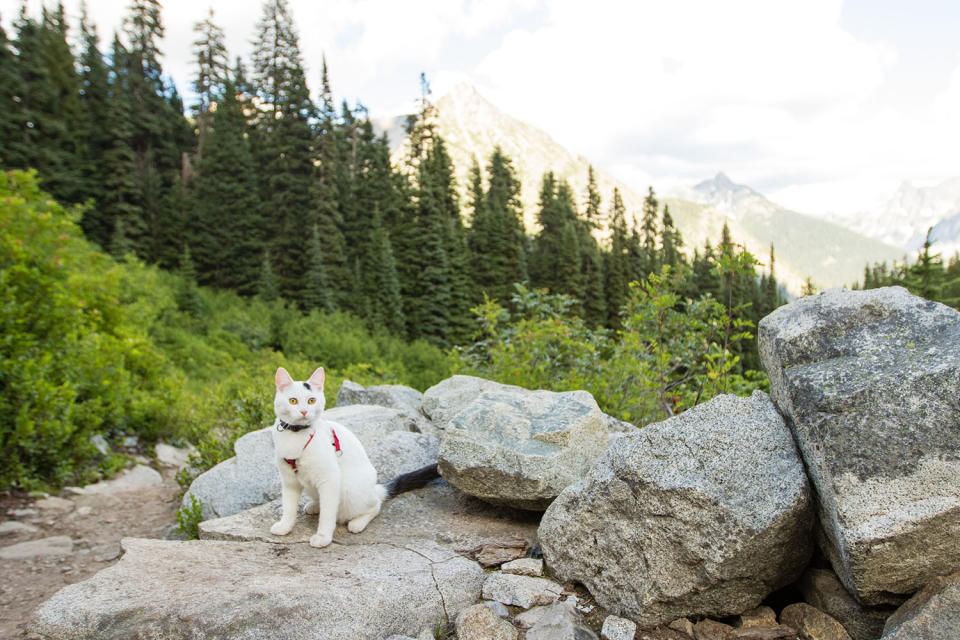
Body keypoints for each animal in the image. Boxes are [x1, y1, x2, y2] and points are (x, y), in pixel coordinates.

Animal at [266, 368, 386, 548]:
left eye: (311, 400)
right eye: (293, 401)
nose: (304, 411)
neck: (296, 435)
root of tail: (373, 488)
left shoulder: (329, 479)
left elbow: (328, 513)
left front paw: (323, 537)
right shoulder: (289, 481)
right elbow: (288, 506)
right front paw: (285, 526)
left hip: (349, 490)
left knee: (375, 505)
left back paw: (357, 523)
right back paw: (315, 506)